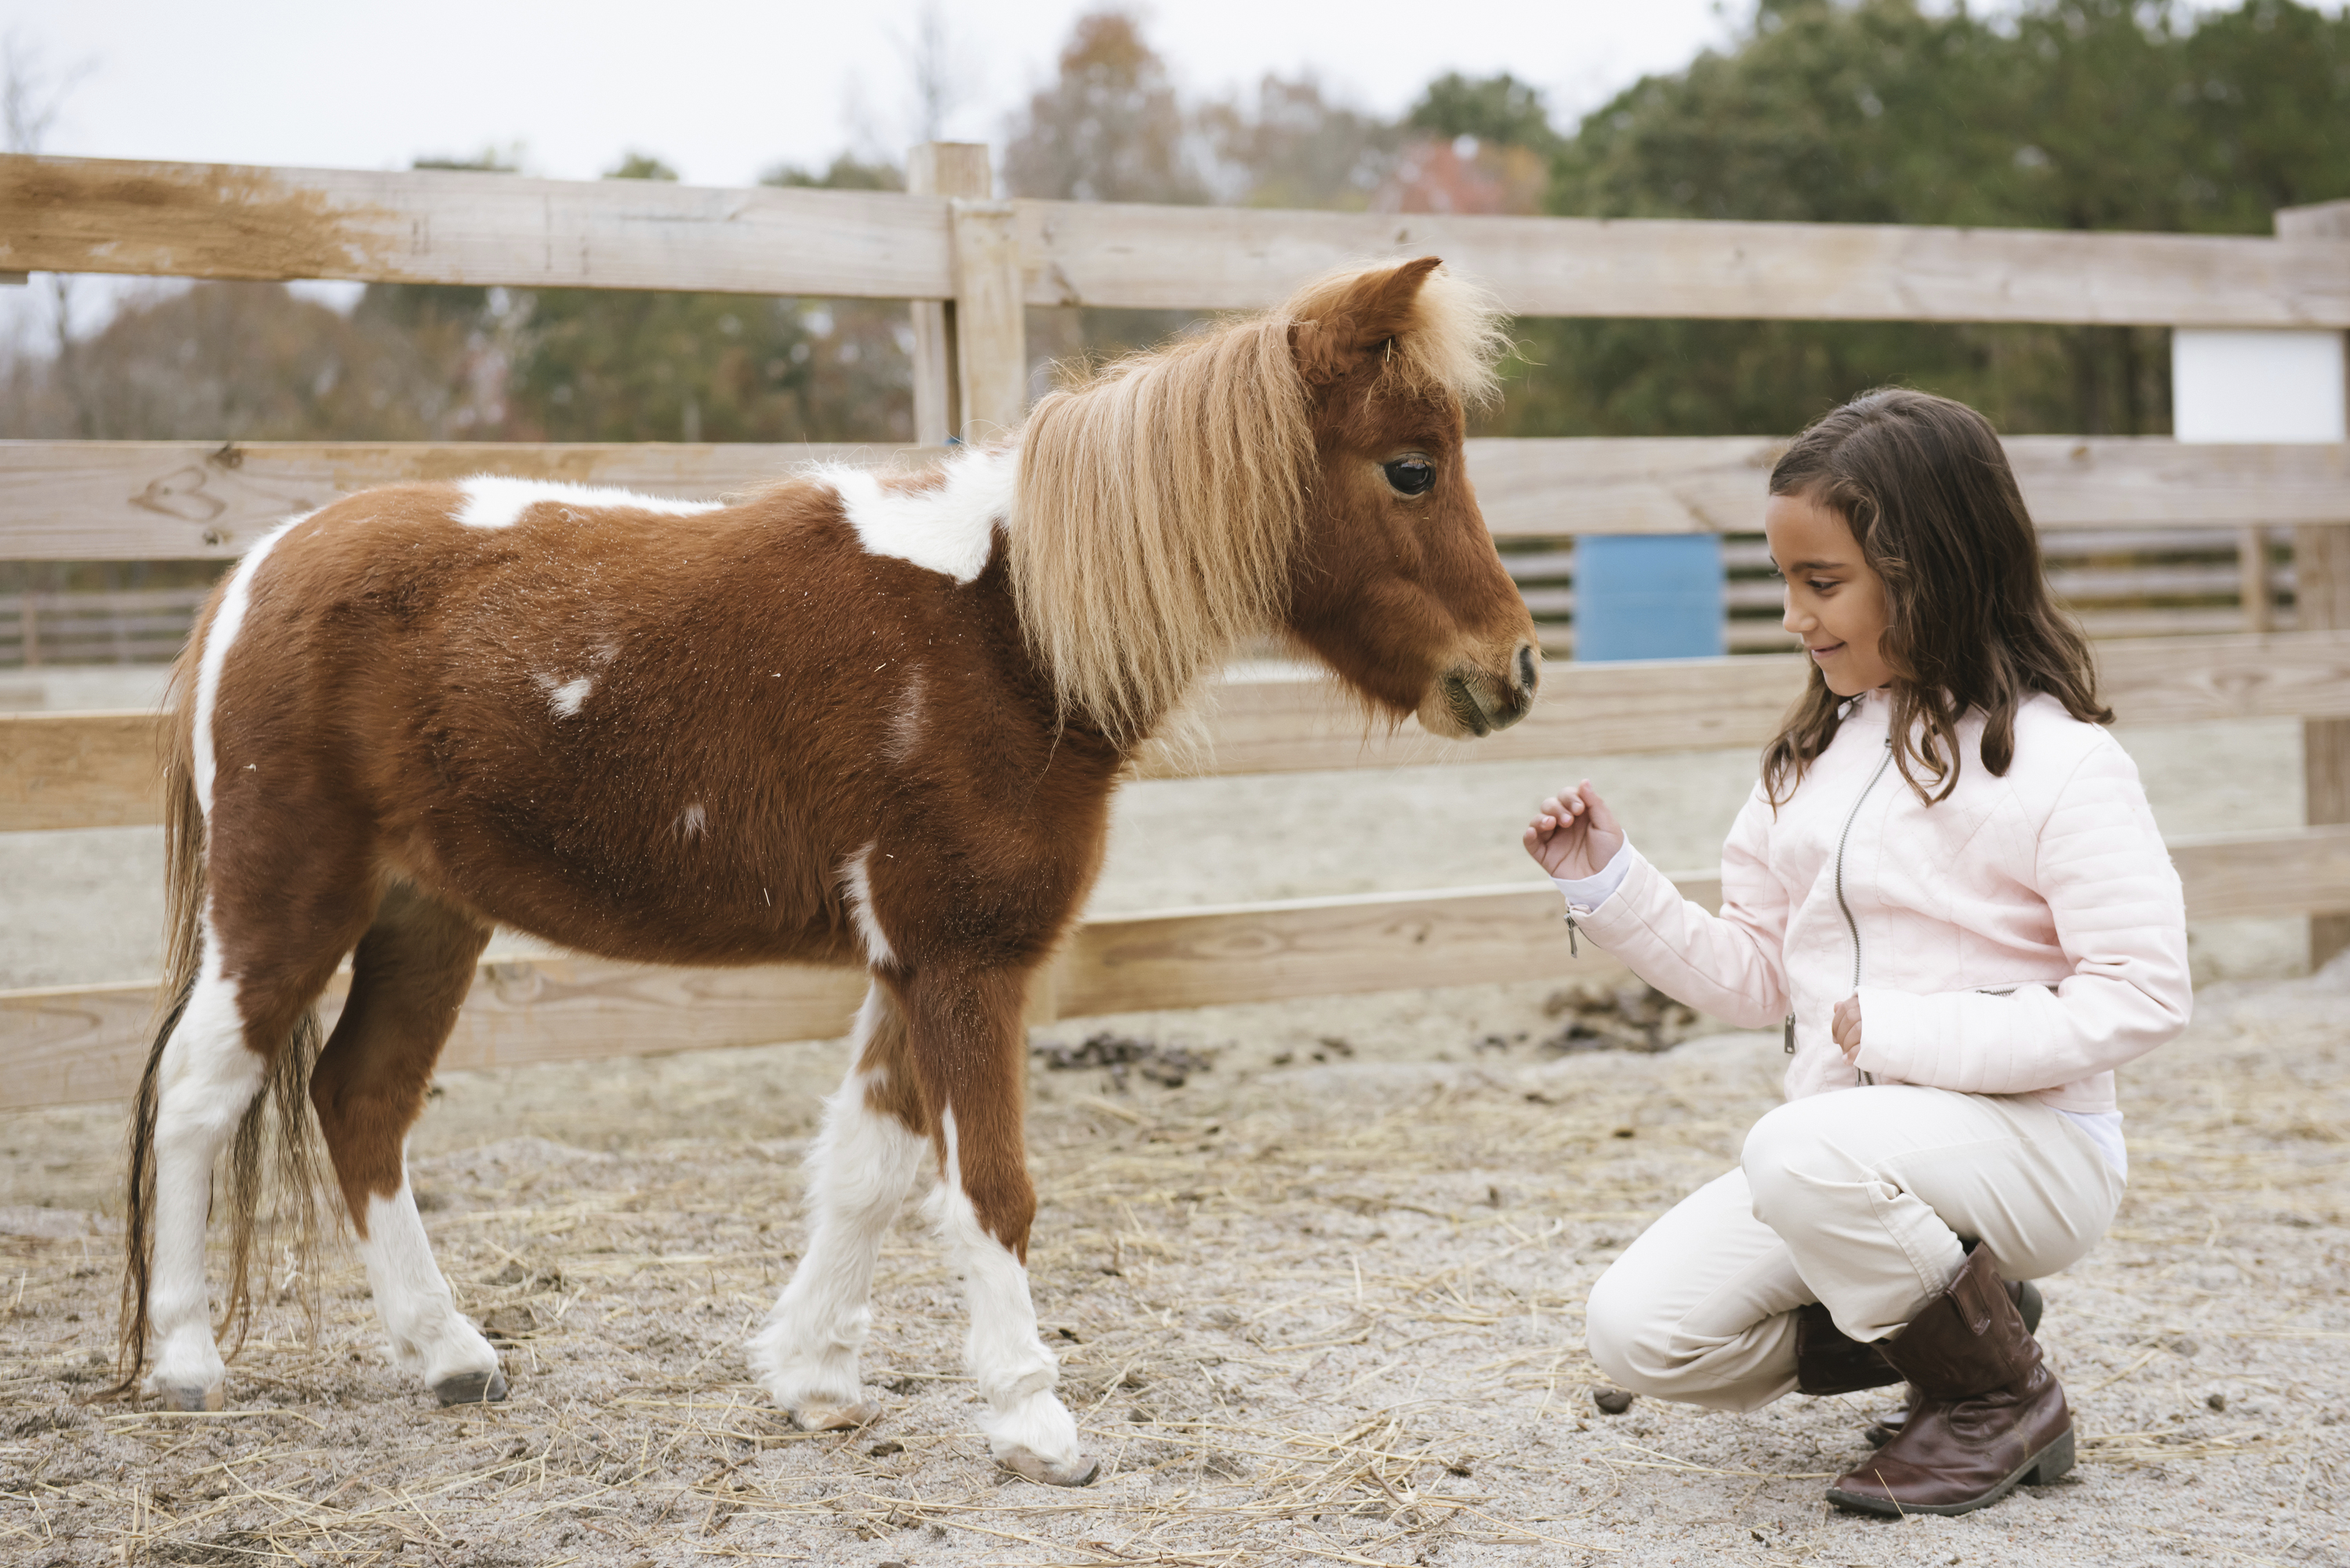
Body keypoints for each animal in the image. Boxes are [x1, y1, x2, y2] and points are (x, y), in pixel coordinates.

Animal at [114, 255, 1540, 1485]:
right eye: (1411, 469)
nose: (1514, 669)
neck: (1010, 626)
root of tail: (255, 575)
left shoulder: (912, 964)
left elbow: (866, 1166)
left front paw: (812, 1378)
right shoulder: (965, 962)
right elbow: (990, 1188)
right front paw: (1033, 1420)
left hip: (428, 918)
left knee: (360, 1103)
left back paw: (450, 1355)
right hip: (286, 904)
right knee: (200, 1092)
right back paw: (185, 1361)